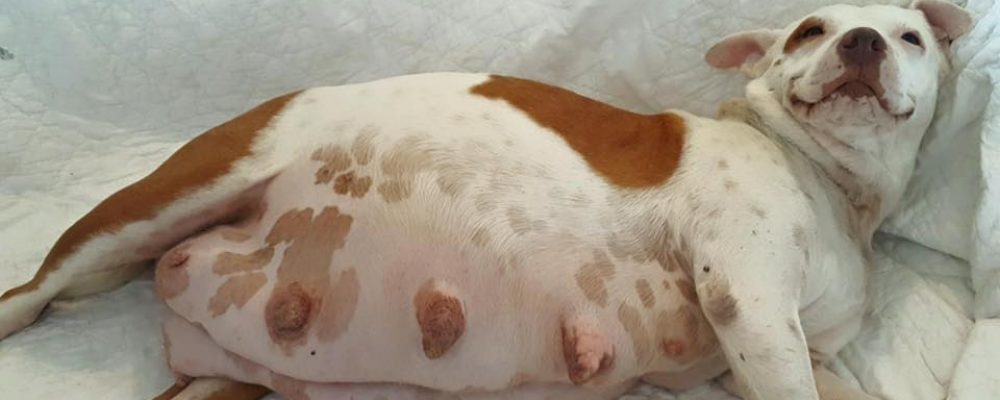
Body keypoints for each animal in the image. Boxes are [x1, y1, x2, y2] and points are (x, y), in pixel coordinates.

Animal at [0, 1, 972, 399]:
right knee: (31, 294)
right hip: (148, 210)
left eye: (911, 37)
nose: (860, 41)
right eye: (809, 29)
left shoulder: (772, 353)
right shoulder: (751, 300)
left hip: (227, 377)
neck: (833, 185)